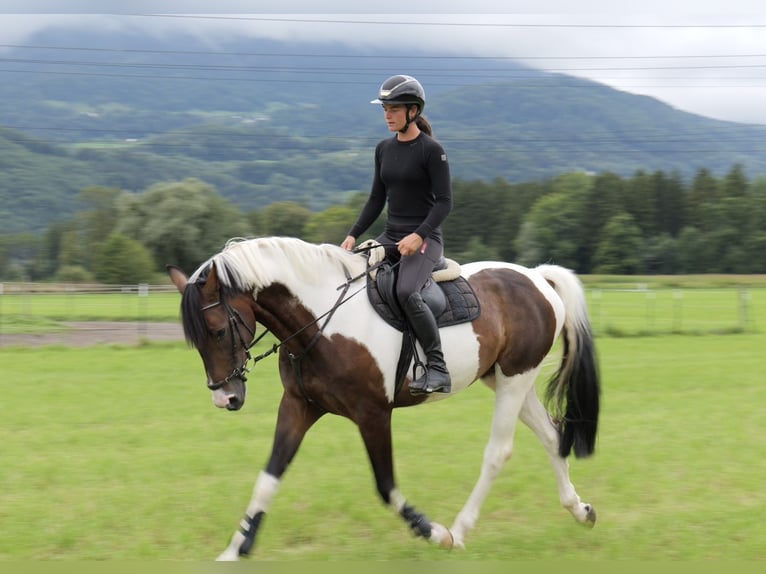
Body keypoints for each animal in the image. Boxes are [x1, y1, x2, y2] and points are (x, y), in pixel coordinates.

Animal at [166, 235, 600, 564]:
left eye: (218, 330)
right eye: (197, 340)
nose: (226, 398)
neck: (322, 323)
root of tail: (537, 277)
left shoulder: (372, 414)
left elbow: (385, 485)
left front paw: (434, 533)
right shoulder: (299, 406)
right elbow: (270, 476)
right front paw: (237, 548)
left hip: (514, 380)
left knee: (498, 453)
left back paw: (459, 530)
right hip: (507, 381)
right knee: (552, 436)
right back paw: (580, 510)